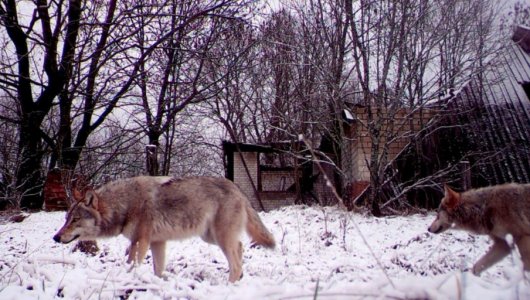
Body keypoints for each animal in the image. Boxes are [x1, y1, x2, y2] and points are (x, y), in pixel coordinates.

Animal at [53, 176, 274, 282]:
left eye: (75, 220)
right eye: (66, 219)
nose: (56, 237)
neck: (125, 203)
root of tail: (237, 188)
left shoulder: (140, 241)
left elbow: (132, 265)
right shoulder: (157, 242)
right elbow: (158, 270)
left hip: (220, 239)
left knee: (235, 262)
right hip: (211, 237)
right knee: (240, 246)